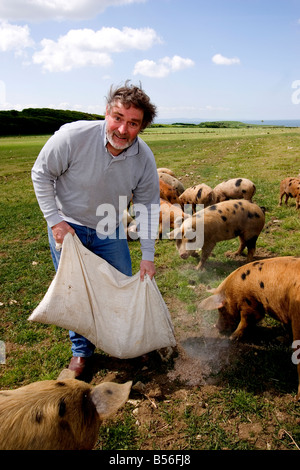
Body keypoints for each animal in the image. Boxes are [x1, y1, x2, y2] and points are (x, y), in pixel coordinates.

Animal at [200, 258, 300, 400]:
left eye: (221, 309)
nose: (216, 327)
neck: (232, 291)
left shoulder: (249, 303)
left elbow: (246, 320)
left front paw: (233, 337)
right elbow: (286, 327)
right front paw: (279, 338)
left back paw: (297, 398)